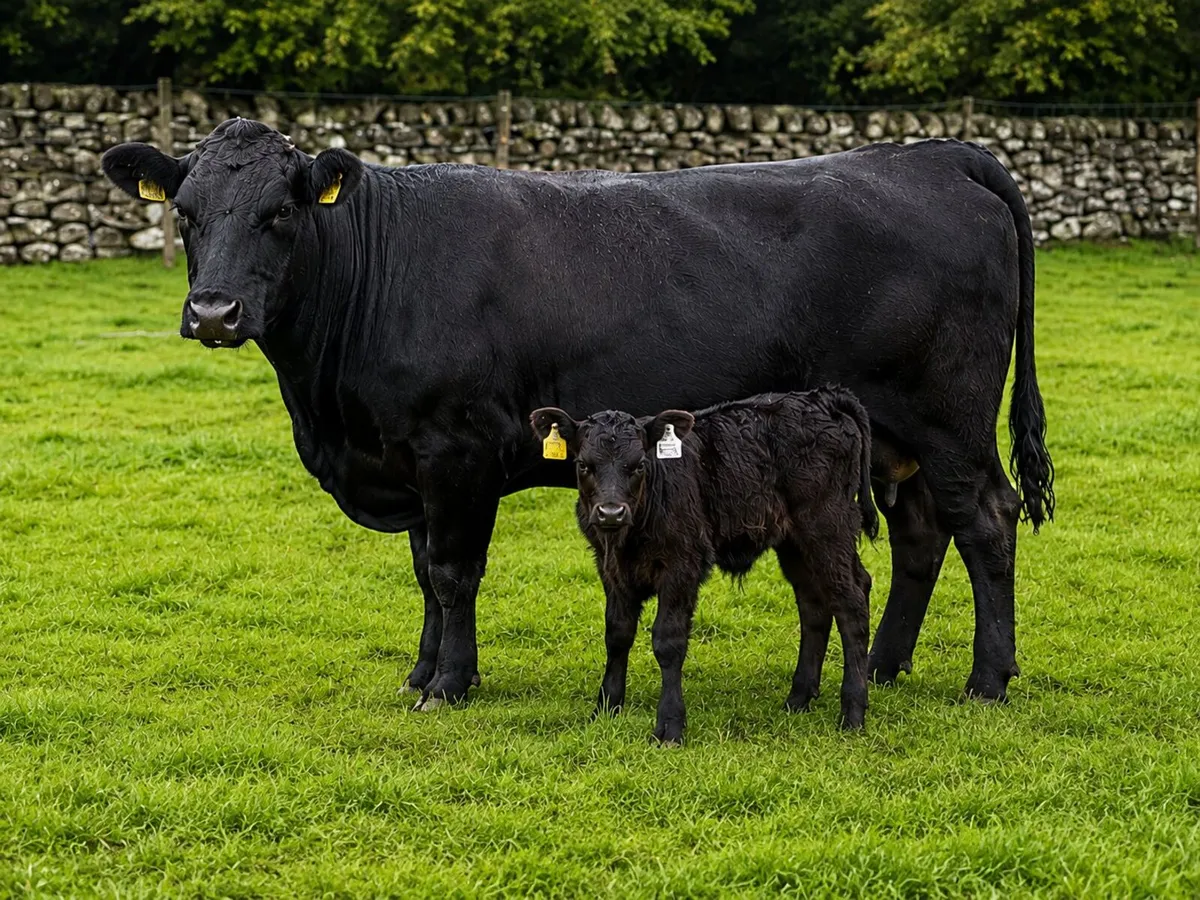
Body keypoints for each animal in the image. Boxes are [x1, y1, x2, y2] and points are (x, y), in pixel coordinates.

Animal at [531, 388, 878, 743]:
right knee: (814, 605)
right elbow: (617, 634)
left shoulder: (682, 565)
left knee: (851, 603)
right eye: (584, 465)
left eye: (639, 465)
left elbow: (668, 641)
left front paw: (669, 725)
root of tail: (823, 397)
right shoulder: (610, 568)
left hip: (827, 526)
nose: (610, 512)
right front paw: (606, 709)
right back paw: (798, 698)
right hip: (795, 543)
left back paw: (852, 712)